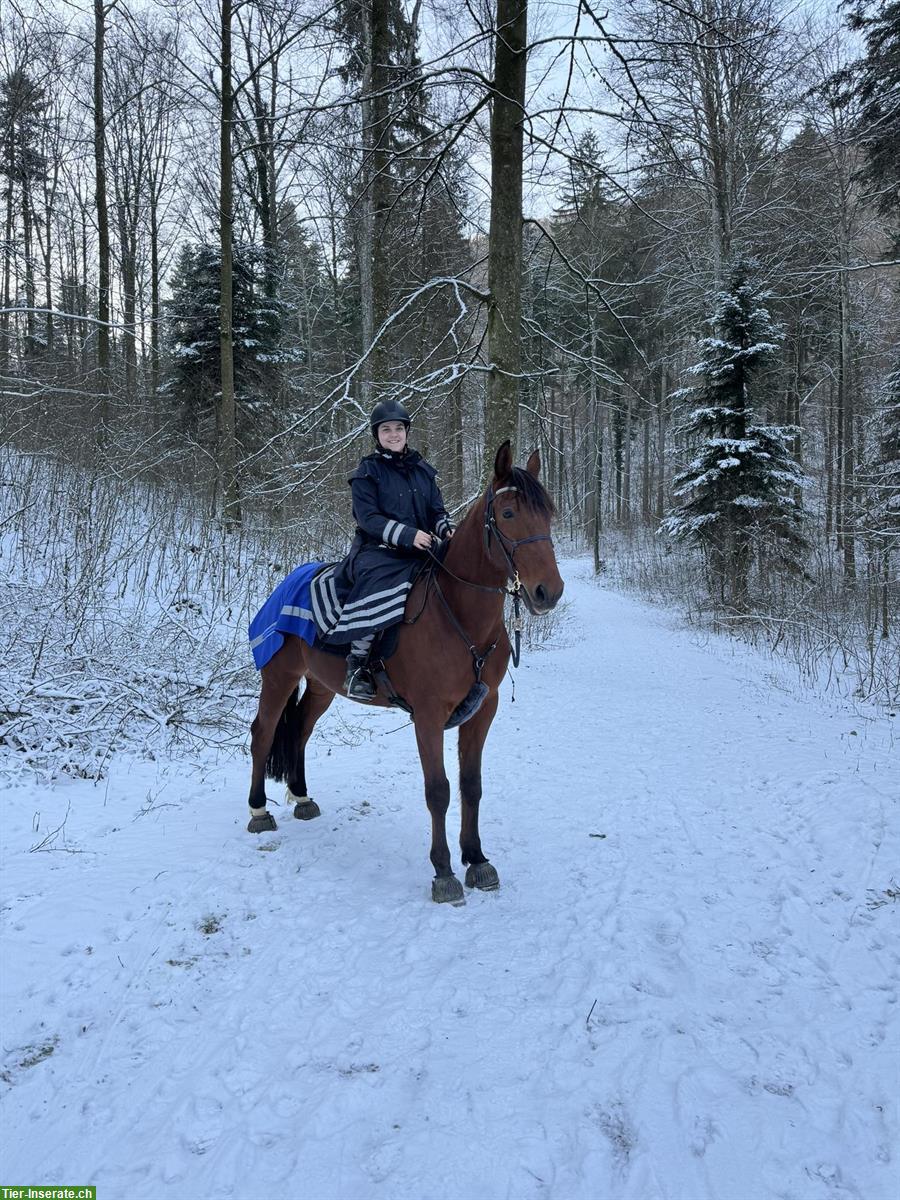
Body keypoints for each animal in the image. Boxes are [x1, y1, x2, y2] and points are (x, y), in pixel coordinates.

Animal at [243, 441, 561, 902]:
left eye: (549, 513)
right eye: (507, 514)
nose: (548, 592)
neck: (459, 615)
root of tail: (287, 582)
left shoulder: (483, 711)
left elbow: (471, 785)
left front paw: (476, 858)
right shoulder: (428, 716)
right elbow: (438, 791)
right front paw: (443, 870)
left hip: (321, 686)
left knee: (299, 729)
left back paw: (302, 799)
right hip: (279, 677)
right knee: (263, 733)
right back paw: (257, 810)